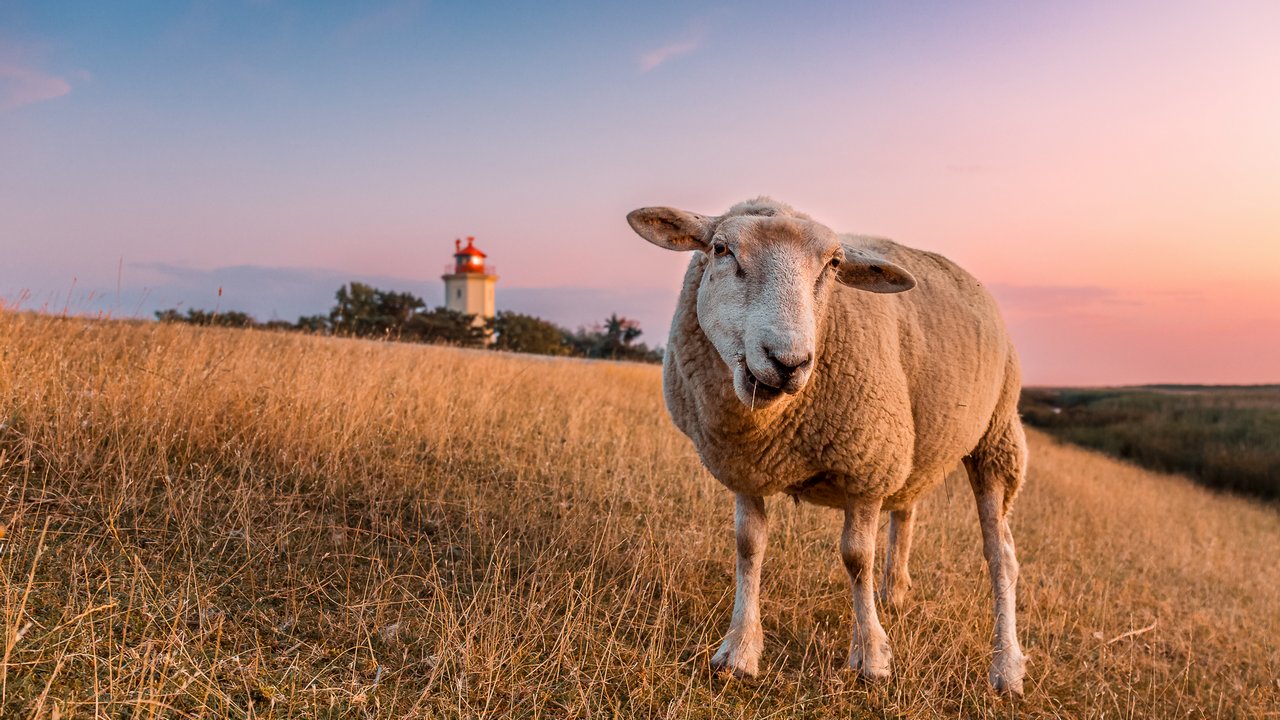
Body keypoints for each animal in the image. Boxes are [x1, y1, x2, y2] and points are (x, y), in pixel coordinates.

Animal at [627, 194, 1029, 691]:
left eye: (834, 265)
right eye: (720, 249)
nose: (788, 362)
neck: (770, 425)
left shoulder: (867, 466)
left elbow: (857, 558)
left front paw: (871, 656)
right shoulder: (746, 467)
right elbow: (748, 546)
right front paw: (739, 650)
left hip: (996, 439)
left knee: (1001, 556)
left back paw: (1006, 666)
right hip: (918, 445)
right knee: (907, 511)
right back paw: (894, 593)